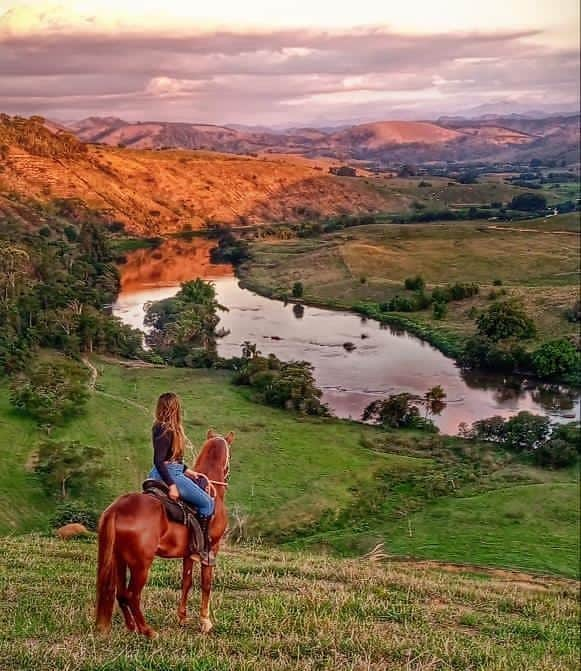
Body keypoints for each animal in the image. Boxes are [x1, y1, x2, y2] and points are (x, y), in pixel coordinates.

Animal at [94, 428, 232, 636]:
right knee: (133, 595)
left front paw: (182, 618)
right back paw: (148, 631)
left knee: (122, 594)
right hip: (141, 565)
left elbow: (186, 582)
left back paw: (132, 627)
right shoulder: (211, 550)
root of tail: (118, 508)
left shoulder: (189, 554)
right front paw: (205, 621)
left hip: (119, 559)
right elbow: (206, 583)